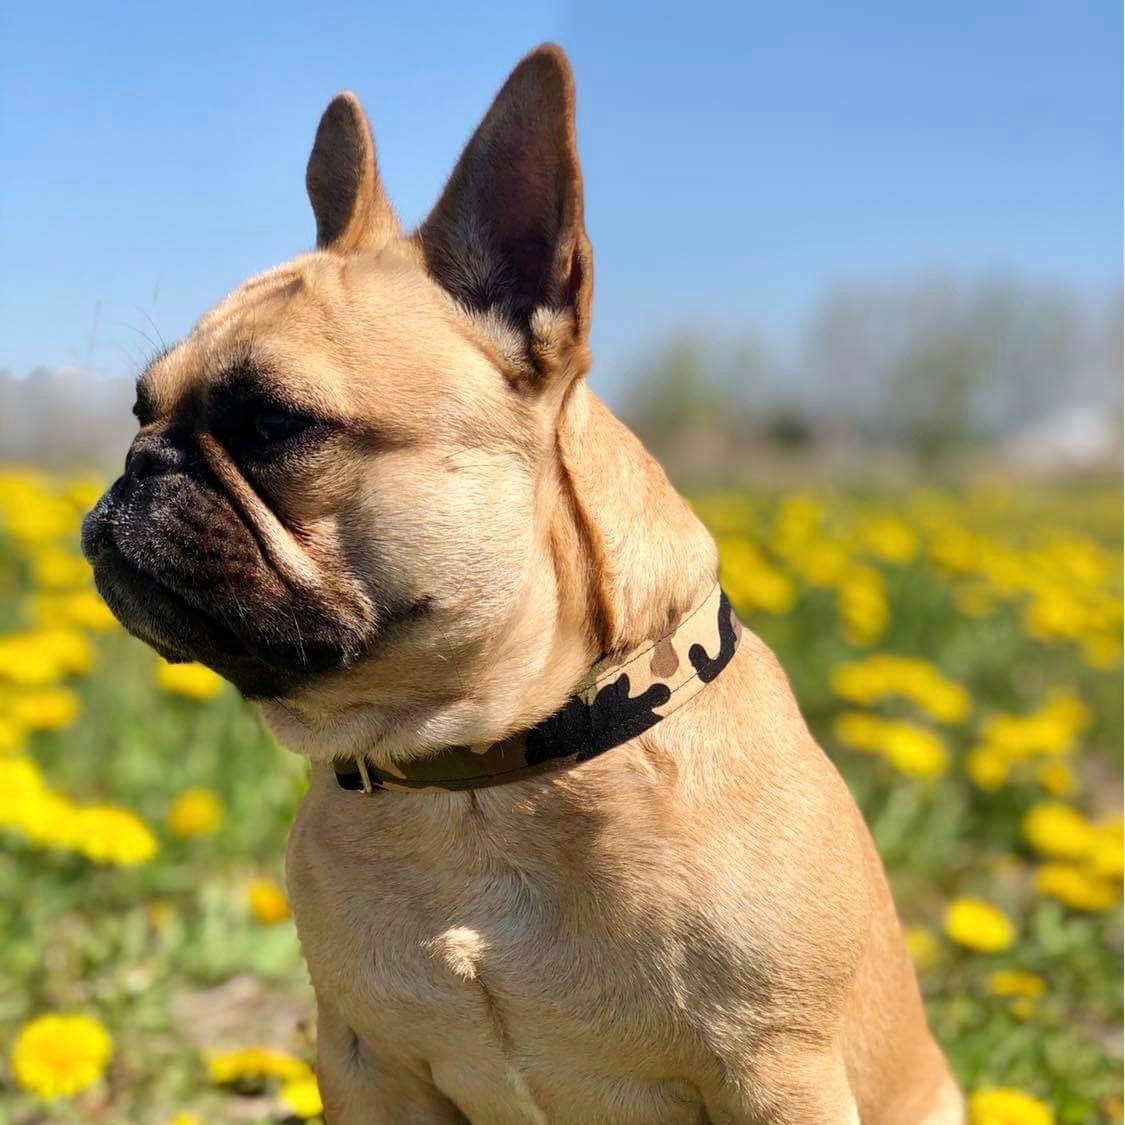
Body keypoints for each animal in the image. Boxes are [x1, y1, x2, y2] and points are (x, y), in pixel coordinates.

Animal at [83, 41, 963, 1116]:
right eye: (139, 407)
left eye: (273, 423)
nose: (140, 463)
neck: (482, 773)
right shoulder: (365, 1059)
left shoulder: (774, 1069)